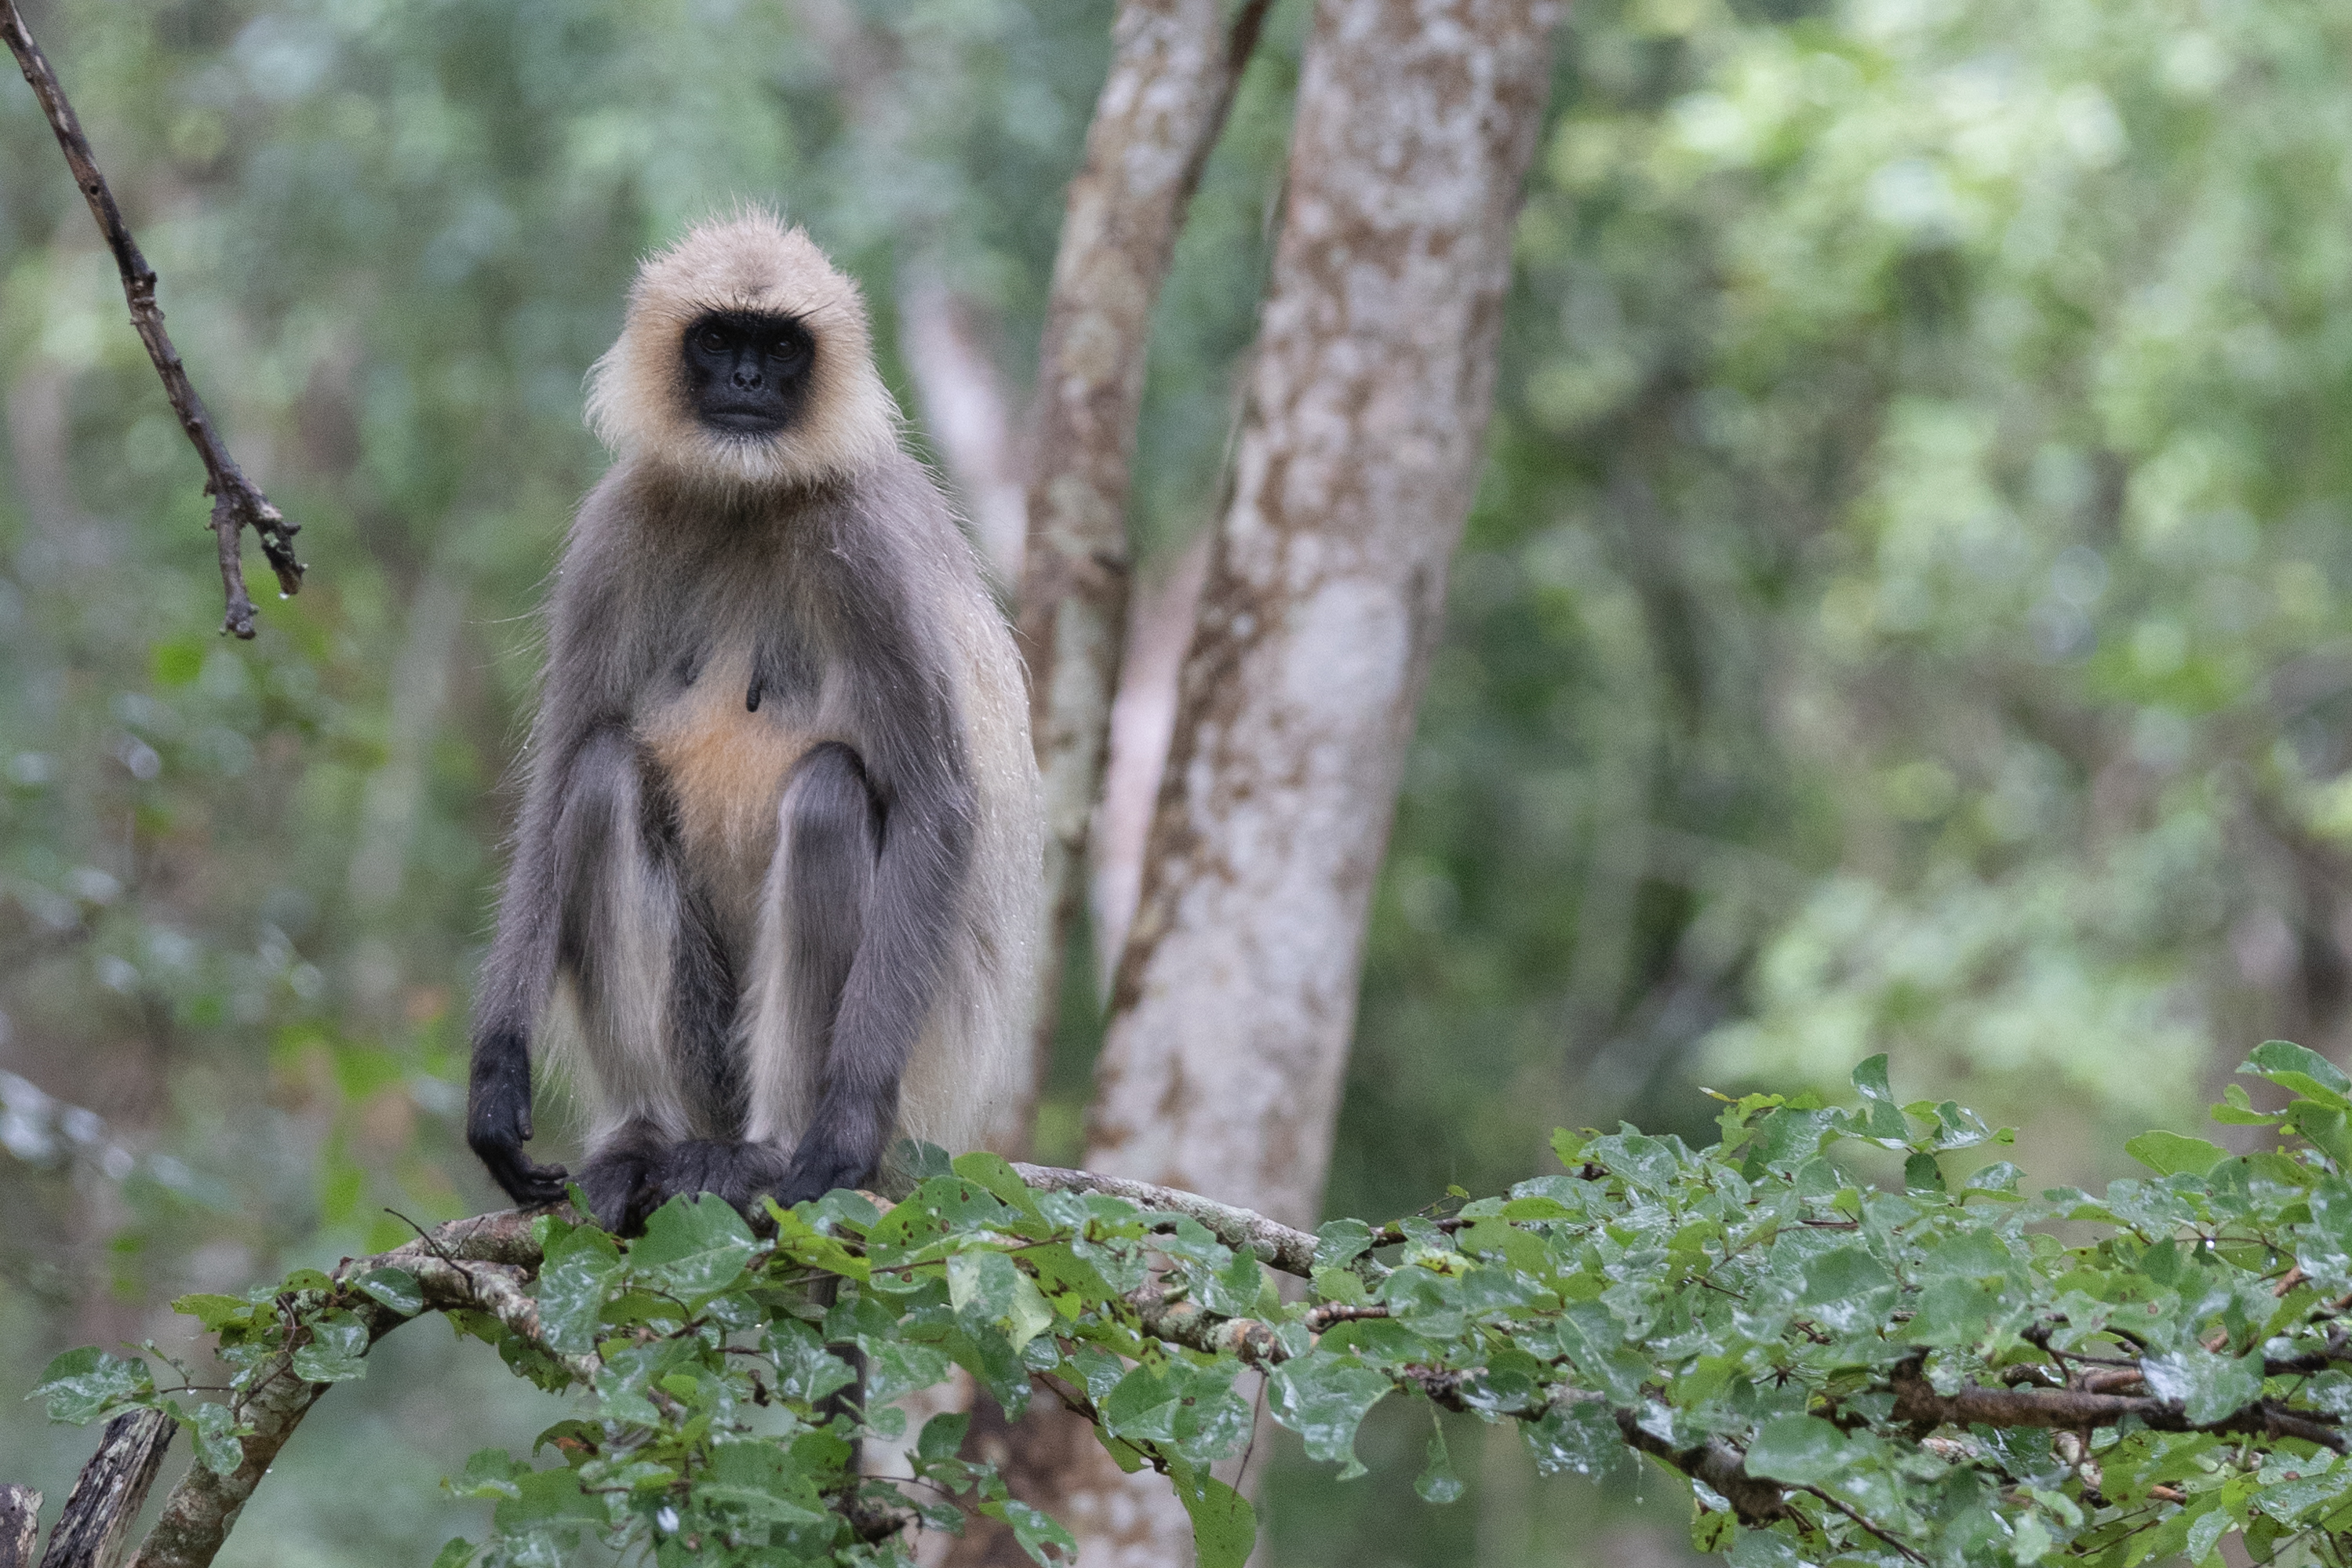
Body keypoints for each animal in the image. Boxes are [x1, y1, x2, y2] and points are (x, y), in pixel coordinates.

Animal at [463, 211, 1035, 1241]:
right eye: (720, 337)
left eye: (779, 347)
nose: (745, 383)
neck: (746, 499)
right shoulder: (618, 528)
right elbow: (559, 774)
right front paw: (495, 1076)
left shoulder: (865, 549)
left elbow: (937, 805)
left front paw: (838, 1130)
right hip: (703, 1064)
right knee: (600, 775)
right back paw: (642, 1141)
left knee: (829, 793)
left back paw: (769, 1151)